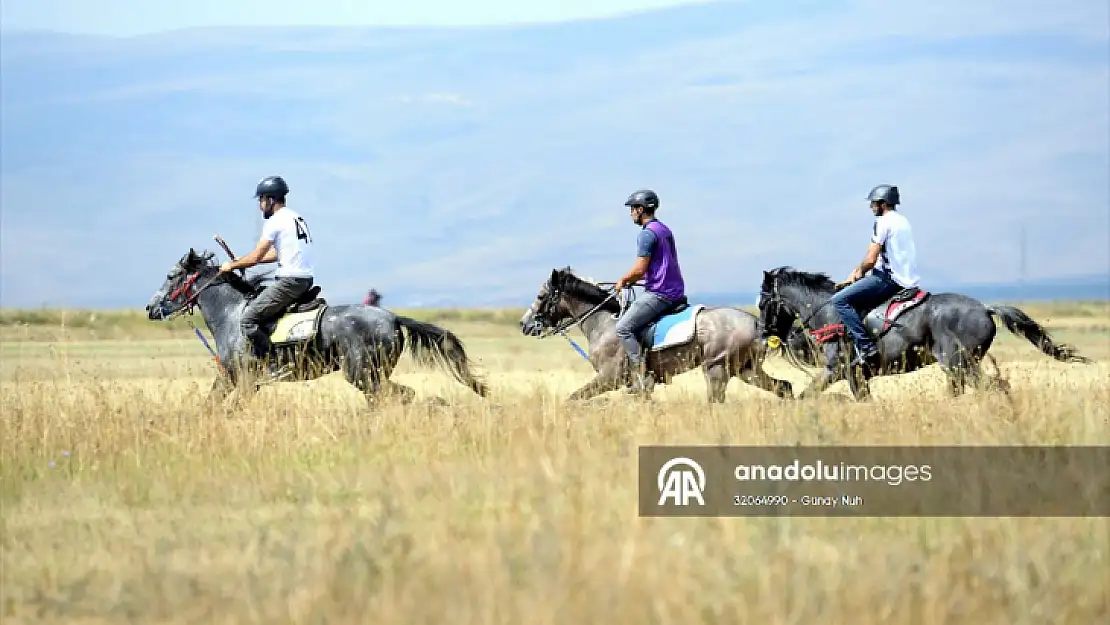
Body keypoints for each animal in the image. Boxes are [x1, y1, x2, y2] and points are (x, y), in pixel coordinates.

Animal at [145, 247, 488, 408]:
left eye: (172, 275)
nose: (150, 308)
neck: (231, 314)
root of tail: (391, 317)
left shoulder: (243, 380)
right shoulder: (230, 379)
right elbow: (211, 406)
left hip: (361, 373)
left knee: (396, 396)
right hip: (372, 374)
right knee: (395, 396)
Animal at [515, 266, 794, 404]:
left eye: (541, 296)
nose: (524, 324)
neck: (603, 323)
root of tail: (757, 323)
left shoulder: (609, 378)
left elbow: (573, 398)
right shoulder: (640, 387)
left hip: (717, 369)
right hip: (746, 369)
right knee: (784, 387)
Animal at [754, 265, 1092, 401]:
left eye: (762, 301)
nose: (765, 333)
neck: (828, 312)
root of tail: (985, 308)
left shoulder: (840, 370)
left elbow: (807, 395)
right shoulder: (855, 376)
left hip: (958, 364)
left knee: (991, 388)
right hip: (960, 367)